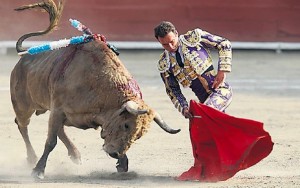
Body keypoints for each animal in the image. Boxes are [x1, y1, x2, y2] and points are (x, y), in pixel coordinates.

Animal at [10, 0, 180, 179]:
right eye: (126, 125)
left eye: (139, 135)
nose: (115, 153)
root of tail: (25, 55)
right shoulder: (57, 110)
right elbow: (51, 142)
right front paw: (38, 170)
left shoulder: (62, 113)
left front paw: (122, 163)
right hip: (23, 106)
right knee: (22, 125)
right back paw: (32, 158)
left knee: (58, 130)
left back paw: (75, 155)